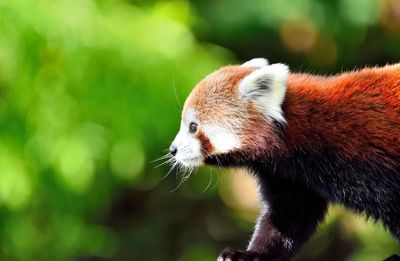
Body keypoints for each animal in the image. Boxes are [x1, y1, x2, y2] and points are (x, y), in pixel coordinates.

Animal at [168, 59, 400, 260]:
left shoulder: (371, 161)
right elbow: (287, 218)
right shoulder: (291, 177)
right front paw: (250, 254)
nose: (173, 150)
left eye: (193, 127)